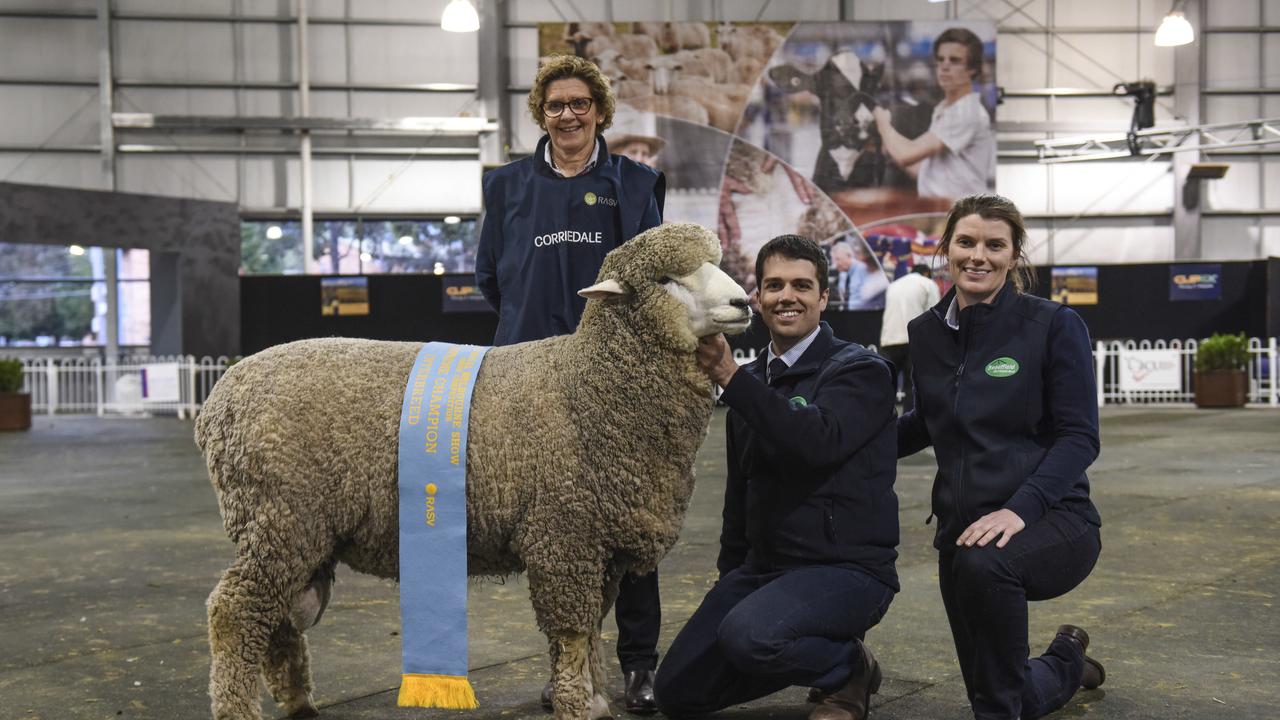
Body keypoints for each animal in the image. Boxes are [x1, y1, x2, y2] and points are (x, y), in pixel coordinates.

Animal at [195, 222, 752, 717]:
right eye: (666, 280)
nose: (744, 303)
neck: (588, 385)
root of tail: (218, 401)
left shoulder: (601, 546)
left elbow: (594, 629)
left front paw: (594, 697)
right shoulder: (563, 537)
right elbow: (572, 635)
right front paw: (578, 704)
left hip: (300, 532)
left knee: (281, 620)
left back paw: (298, 703)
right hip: (280, 517)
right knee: (235, 612)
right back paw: (237, 708)